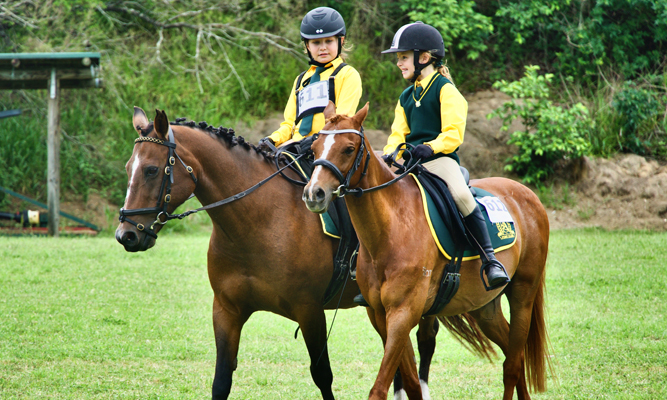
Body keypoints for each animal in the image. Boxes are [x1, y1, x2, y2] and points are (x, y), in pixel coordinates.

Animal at [115, 107, 444, 399]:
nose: (126, 234)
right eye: (129, 168)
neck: (258, 219)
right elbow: (221, 381)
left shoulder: (309, 311)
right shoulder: (226, 310)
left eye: (152, 170)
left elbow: (323, 375)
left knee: (424, 341)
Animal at [302, 102, 553, 400]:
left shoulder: (403, 312)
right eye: (314, 149)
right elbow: (409, 381)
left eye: (349, 149)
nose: (313, 194)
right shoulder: (380, 314)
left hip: (522, 294)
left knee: (513, 364)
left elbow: (380, 388)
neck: (389, 230)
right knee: (512, 353)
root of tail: (528, 194)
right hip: (484, 306)